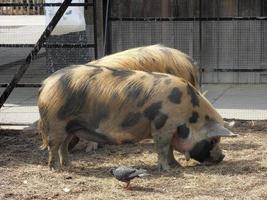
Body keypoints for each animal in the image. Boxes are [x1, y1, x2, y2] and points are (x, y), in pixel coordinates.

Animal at [38, 64, 237, 170]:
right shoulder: (162, 126)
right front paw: (166, 170)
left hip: (71, 126)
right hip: (56, 122)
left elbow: (170, 149)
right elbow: (162, 148)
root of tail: (46, 83)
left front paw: (176, 166)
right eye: (214, 140)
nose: (222, 156)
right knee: (53, 146)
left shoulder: (170, 129)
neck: (188, 114)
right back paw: (56, 168)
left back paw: (68, 165)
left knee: (64, 146)